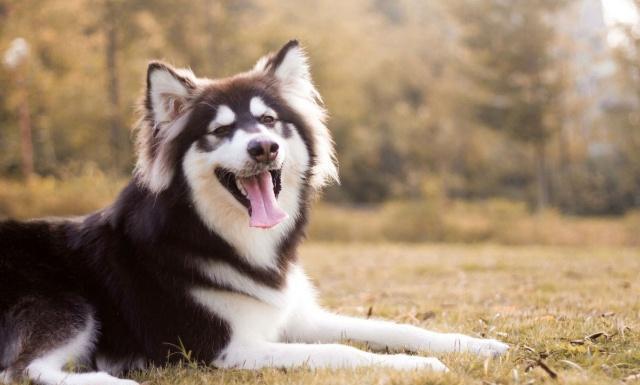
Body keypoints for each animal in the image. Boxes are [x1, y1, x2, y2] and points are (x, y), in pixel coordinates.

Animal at [1, 40, 510, 382]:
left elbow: (396, 327)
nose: (263, 147)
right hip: (68, 306)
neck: (221, 237)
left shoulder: (297, 318)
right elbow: (340, 352)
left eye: (268, 120)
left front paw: (474, 343)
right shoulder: (224, 348)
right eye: (221, 130)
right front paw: (417, 365)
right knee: (24, 371)